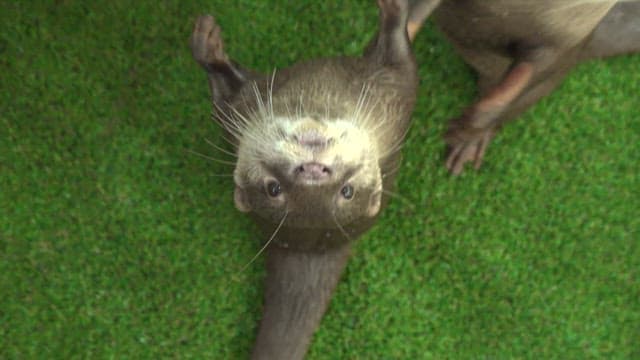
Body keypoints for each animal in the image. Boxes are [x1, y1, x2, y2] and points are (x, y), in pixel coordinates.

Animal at [189, 1, 420, 358]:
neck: (320, 95)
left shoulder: (395, 103)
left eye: (347, 191)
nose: (313, 172)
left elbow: (404, 63)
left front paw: (394, 12)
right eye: (273, 189)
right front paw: (208, 47)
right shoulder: (238, 111)